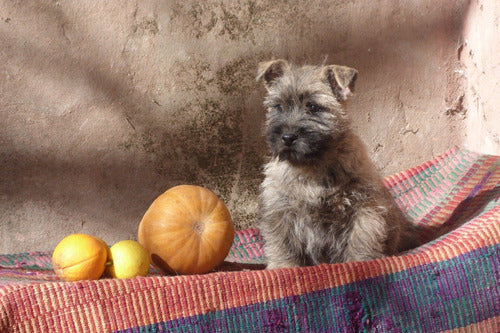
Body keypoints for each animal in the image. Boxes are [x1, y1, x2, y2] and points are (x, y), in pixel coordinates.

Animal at [256, 59, 416, 268]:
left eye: (313, 107)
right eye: (279, 107)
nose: (287, 137)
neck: (312, 165)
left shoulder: (365, 209)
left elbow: (362, 239)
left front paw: (362, 264)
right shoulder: (280, 211)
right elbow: (283, 247)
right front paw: (283, 268)